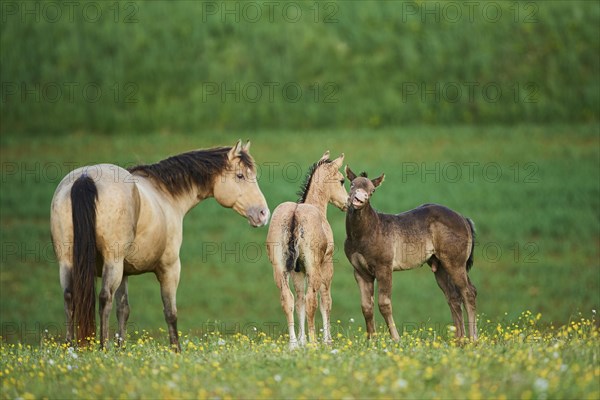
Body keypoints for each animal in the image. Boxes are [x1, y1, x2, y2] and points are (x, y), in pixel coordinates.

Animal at [50, 140, 268, 350]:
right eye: (240, 176)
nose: (263, 213)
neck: (165, 194)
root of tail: (85, 177)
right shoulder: (169, 268)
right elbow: (170, 312)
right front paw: (176, 350)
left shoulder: (125, 273)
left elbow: (123, 310)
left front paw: (121, 350)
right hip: (113, 262)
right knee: (104, 298)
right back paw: (103, 348)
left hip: (68, 261)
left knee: (69, 296)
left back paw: (71, 348)